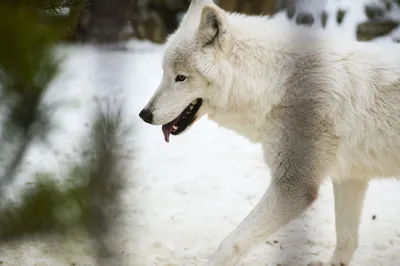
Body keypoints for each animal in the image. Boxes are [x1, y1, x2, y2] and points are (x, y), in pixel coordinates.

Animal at [138, 1, 400, 264]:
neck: (276, 85)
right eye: (165, 74)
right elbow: (346, 241)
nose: (144, 115)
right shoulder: (350, 178)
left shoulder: (294, 187)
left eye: (180, 77)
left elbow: (230, 244)